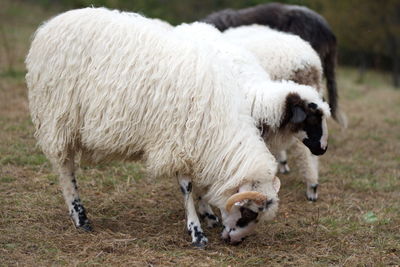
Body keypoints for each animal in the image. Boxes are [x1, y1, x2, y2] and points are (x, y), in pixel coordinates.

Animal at [25, 7, 284, 247]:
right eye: (248, 212)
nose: (236, 241)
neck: (218, 123)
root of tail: (51, 24)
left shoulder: (197, 143)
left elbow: (199, 183)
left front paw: (208, 214)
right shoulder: (178, 139)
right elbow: (187, 187)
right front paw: (196, 231)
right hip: (58, 116)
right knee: (65, 168)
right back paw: (80, 217)